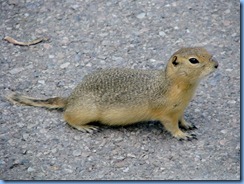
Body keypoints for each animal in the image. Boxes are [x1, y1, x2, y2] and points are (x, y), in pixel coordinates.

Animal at [6, 47, 218, 139]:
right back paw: (84, 127)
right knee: (67, 117)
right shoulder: (166, 112)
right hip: (86, 110)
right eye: (193, 60)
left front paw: (187, 125)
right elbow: (170, 126)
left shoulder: (180, 109)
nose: (216, 65)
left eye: (208, 51)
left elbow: (182, 118)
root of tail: (71, 98)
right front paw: (181, 135)